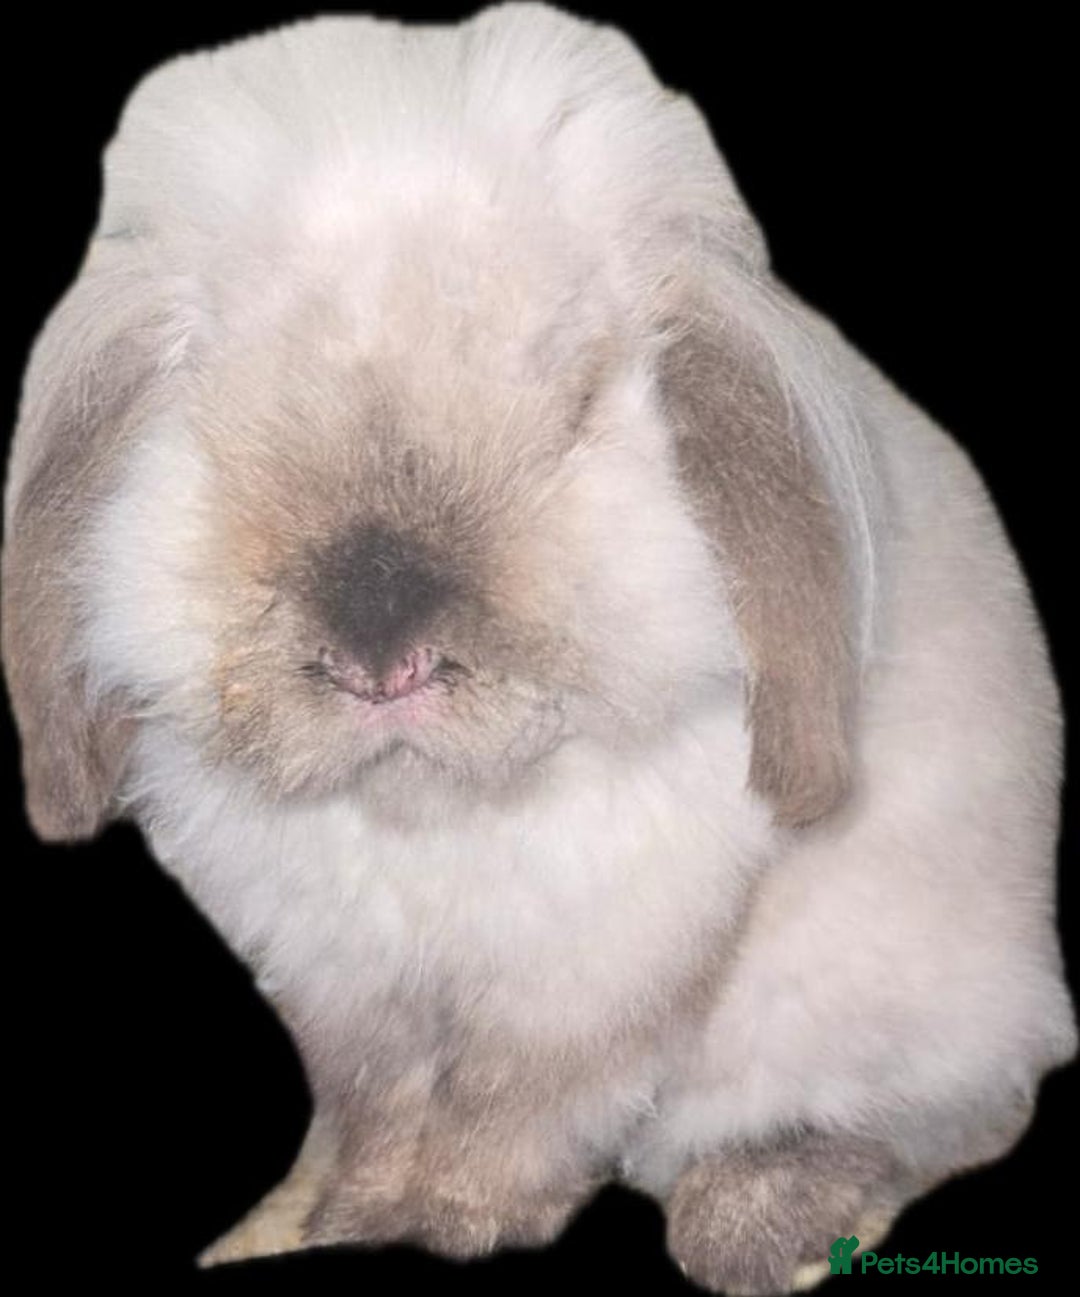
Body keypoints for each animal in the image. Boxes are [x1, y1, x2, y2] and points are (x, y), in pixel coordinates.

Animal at [2, 4, 1074, 1292]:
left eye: (572, 412)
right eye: (217, 416)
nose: (381, 643)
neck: (428, 812)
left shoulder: (589, 978)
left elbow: (512, 1112)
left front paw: (457, 1221)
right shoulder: (344, 987)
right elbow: (377, 1107)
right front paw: (348, 1214)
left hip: (892, 1005)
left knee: (958, 1113)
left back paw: (759, 1222)